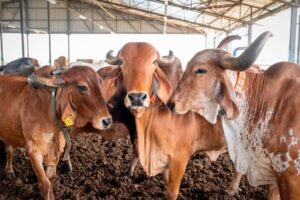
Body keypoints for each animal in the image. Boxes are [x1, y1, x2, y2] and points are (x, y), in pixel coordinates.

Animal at [0, 66, 112, 199]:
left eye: (100, 83)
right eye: (82, 87)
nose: (107, 120)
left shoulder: (55, 152)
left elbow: (51, 179)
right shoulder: (34, 150)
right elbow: (45, 184)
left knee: (9, 149)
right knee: (9, 150)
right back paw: (9, 171)